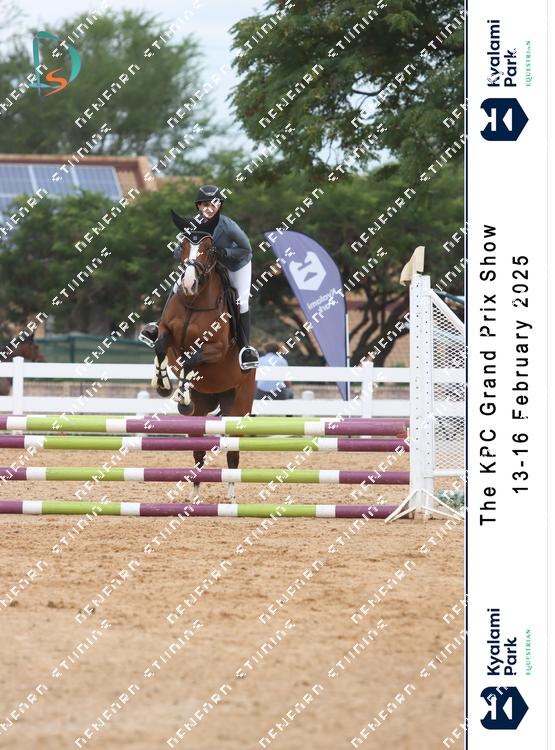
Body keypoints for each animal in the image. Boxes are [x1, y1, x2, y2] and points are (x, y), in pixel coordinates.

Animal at [151, 227, 256, 500]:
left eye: (209, 249)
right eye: (184, 245)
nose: (188, 284)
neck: (194, 302)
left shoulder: (216, 348)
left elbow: (192, 358)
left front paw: (181, 395)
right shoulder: (168, 335)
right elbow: (160, 346)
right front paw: (163, 385)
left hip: (237, 408)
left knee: (232, 452)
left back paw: (230, 495)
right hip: (203, 408)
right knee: (198, 450)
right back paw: (195, 493)